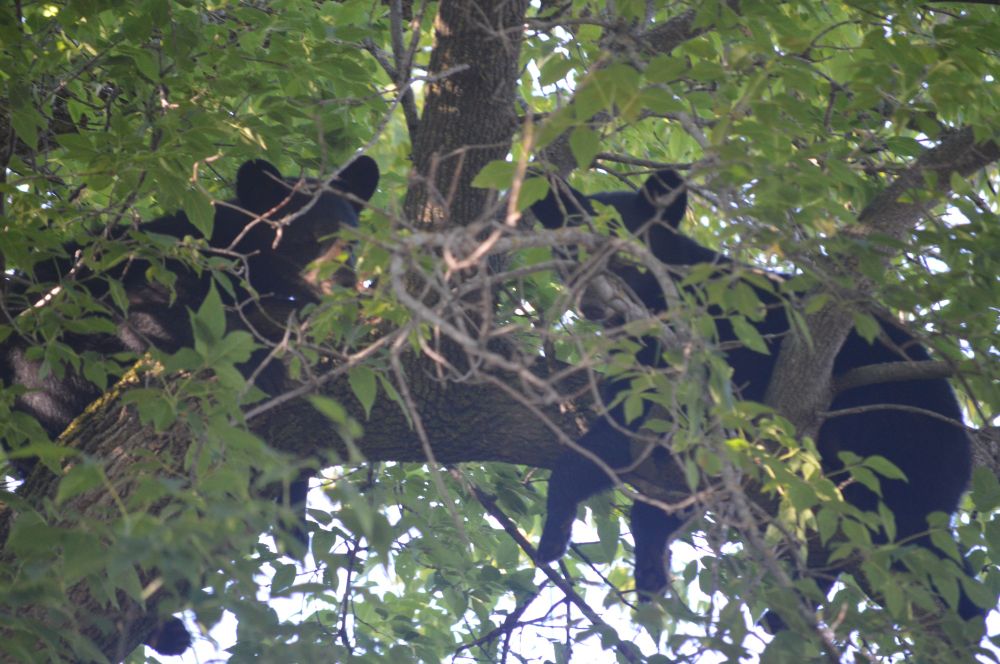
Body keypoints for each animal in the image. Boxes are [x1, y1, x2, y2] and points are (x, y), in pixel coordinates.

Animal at [0, 154, 380, 655]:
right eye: (304, 238)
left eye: (350, 241)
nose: (345, 284)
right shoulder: (162, 272)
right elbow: (173, 323)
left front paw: (292, 514)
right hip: (38, 361)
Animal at [529, 167, 981, 627]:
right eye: (568, 251)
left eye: (622, 249)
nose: (591, 302)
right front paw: (649, 561)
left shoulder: (711, 348)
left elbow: (621, 436)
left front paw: (556, 523)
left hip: (890, 431)